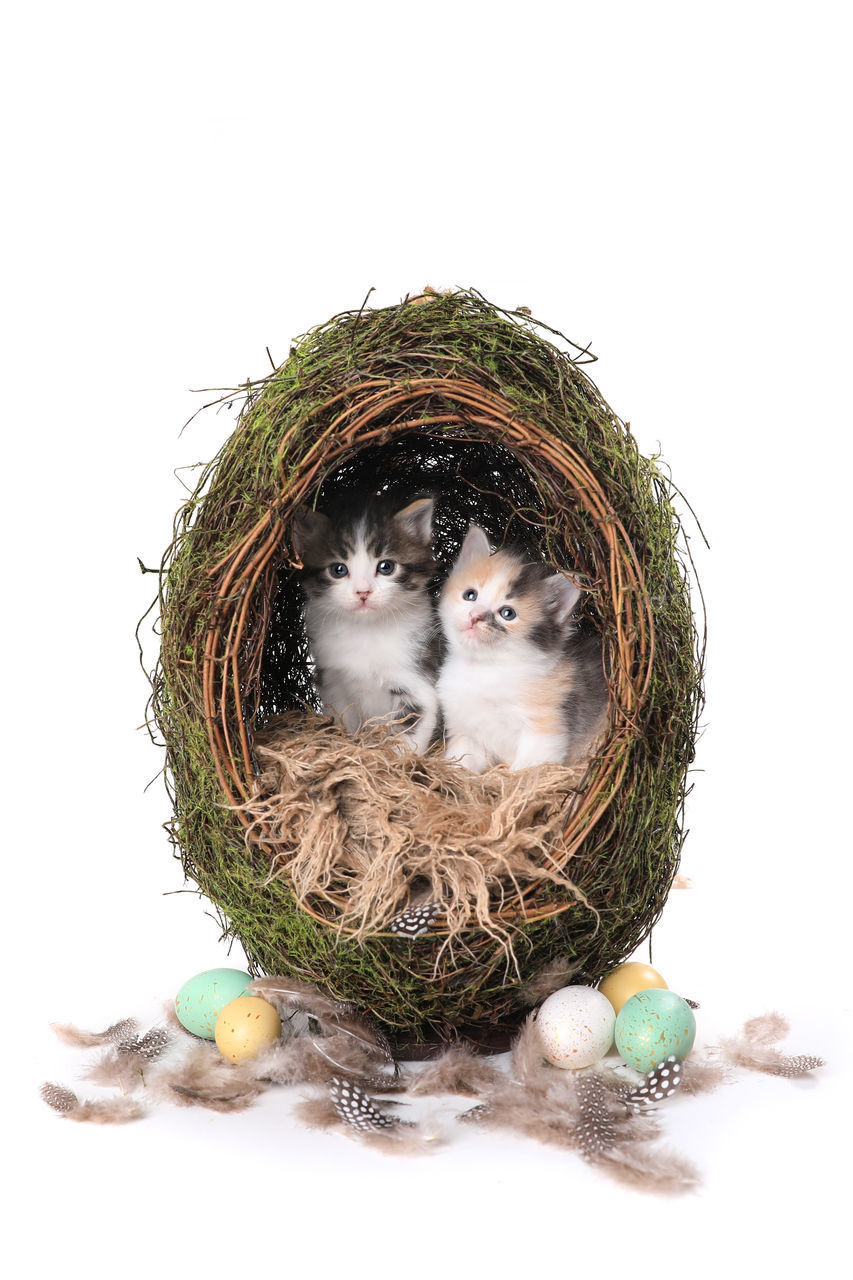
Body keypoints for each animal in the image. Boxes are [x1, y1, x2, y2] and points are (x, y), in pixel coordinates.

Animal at [292, 488, 438, 747]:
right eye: (338, 569)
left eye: (386, 567)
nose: (363, 592)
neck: (366, 628)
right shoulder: (333, 682)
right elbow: (344, 722)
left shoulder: (417, 681)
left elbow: (407, 734)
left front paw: (397, 757)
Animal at [435, 519, 607, 768]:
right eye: (470, 595)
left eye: (507, 613)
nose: (474, 616)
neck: (485, 668)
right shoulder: (467, 732)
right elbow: (462, 764)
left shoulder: (545, 730)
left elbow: (525, 770)